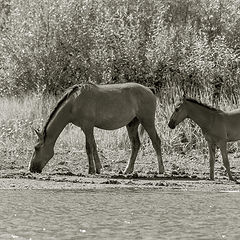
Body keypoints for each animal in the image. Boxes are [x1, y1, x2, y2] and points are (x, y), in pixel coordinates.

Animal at [29, 82, 164, 174]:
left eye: (36, 148)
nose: (31, 168)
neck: (74, 103)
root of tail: (149, 90)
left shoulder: (88, 127)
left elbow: (91, 147)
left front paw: (94, 169)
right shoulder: (85, 128)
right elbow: (90, 147)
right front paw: (95, 169)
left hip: (147, 121)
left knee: (156, 142)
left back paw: (161, 169)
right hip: (132, 124)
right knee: (135, 144)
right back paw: (128, 170)